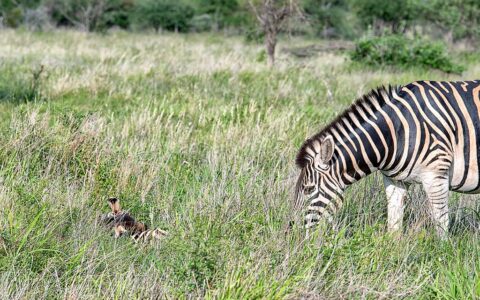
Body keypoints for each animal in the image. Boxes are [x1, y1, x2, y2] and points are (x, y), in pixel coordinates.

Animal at [294, 80, 480, 239]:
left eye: (309, 189)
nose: (293, 233)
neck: (396, 133)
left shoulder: (436, 174)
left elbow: (441, 221)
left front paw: (442, 252)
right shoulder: (395, 180)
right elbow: (394, 222)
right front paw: (393, 250)